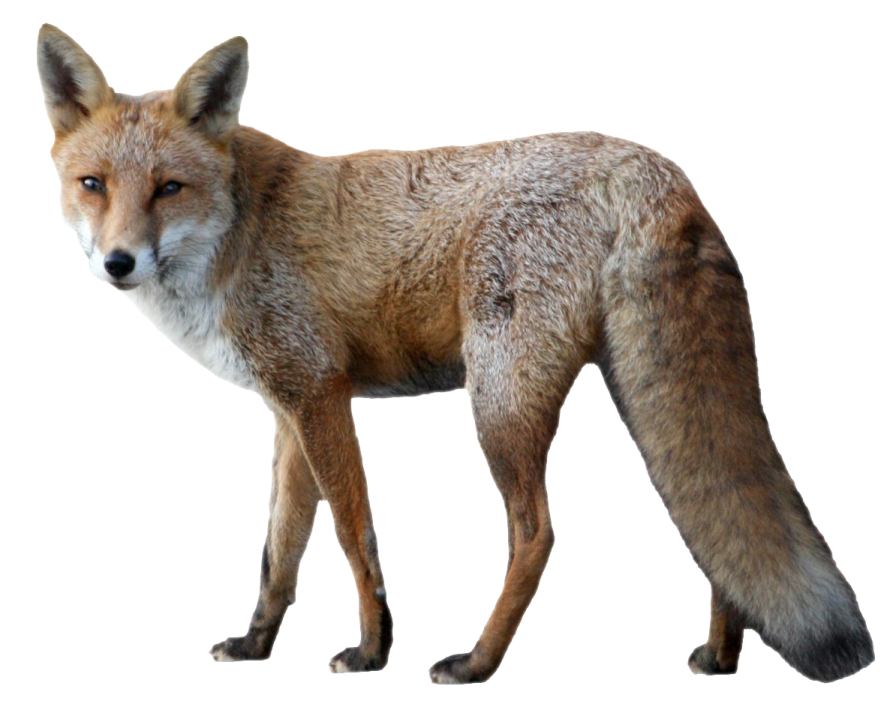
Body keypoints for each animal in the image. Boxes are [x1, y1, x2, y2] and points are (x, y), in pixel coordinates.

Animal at [37, 23, 874, 683]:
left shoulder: (320, 394)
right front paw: (256, 644)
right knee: (707, 517)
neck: (238, 234)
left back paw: (476, 662)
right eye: (93, 184)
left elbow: (354, 537)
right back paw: (720, 654)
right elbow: (280, 550)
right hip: (639, 395)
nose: (118, 262)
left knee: (537, 535)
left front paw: (372, 653)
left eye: (169, 188)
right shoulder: (288, 408)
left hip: (498, 402)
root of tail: (653, 165)